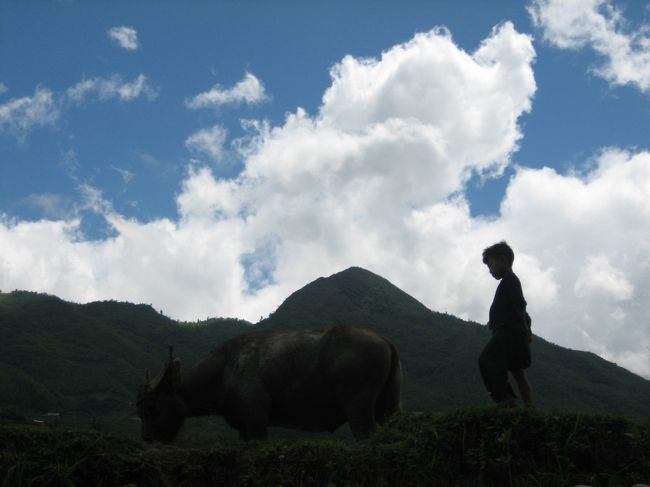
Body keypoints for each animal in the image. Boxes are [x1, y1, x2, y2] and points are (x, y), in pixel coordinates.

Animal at [136, 326, 398, 444]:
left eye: (151, 407)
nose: (147, 439)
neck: (223, 371)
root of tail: (384, 339)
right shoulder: (243, 428)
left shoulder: (256, 418)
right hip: (388, 408)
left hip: (358, 408)